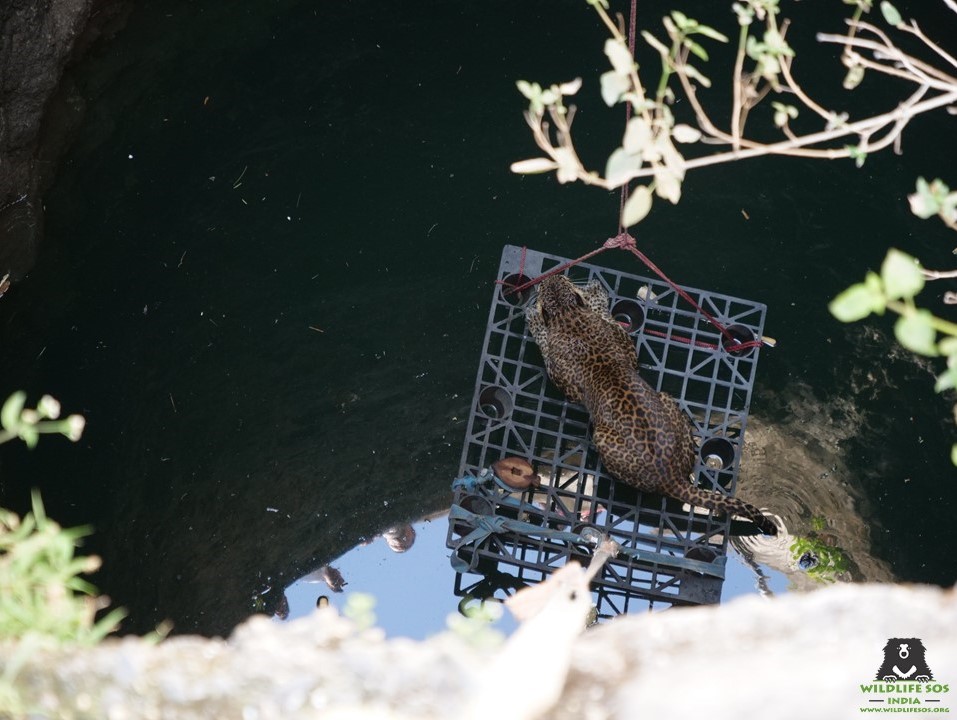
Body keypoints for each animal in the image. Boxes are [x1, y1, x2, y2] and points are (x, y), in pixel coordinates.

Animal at [526, 274, 776, 535]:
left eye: (548, 287)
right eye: (557, 284)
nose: (553, 277)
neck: (569, 315)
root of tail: (672, 478)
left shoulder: (564, 380)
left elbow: (545, 343)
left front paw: (535, 319)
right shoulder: (621, 340)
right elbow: (607, 317)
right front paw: (595, 295)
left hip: (603, 439)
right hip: (666, 400)